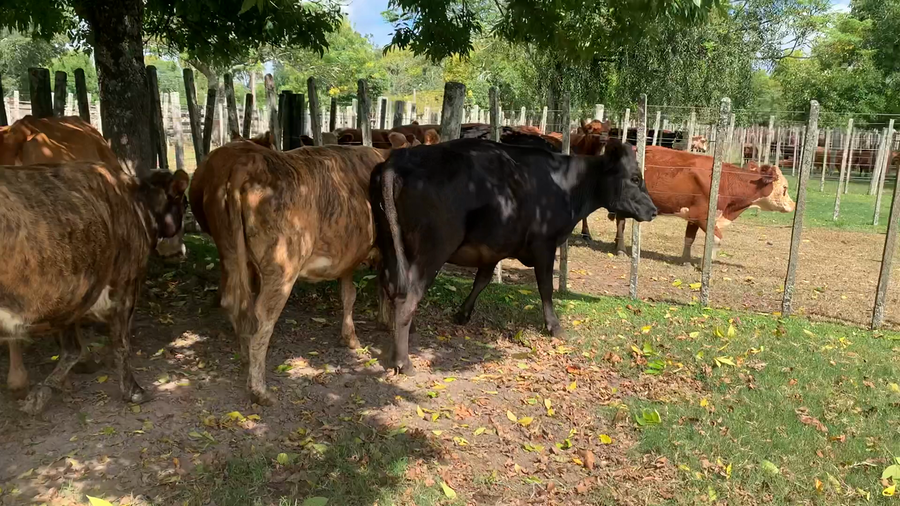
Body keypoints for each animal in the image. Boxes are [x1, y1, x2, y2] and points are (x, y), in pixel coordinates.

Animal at [1, 115, 187, 400]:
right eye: (183, 204)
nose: (179, 250)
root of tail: (22, 128)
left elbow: (71, 343)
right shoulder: (122, 281)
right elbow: (119, 341)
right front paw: (132, 389)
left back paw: (19, 381)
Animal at [190, 132, 413, 405]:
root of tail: (247, 162)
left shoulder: (346, 257)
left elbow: (349, 296)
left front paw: (350, 337)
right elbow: (382, 288)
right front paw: (383, 323)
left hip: (230, 251)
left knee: (235, 302)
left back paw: (244, 357)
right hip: (283, 265)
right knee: (262, 318)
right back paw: (259, 388)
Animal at [370, 138, 657, 375]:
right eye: (635, 178)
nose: (653, 210)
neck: (565, 184)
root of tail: (400, 158)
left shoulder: (492, 248)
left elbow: (482, 281)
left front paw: (463, 314)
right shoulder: (545, 245)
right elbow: (545, 288)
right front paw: (554, 327)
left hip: (388, 243)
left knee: (388, 286)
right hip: (432, 250)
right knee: (407, 297)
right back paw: (403, 361)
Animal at [608, 146, 795, 263]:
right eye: (785, 188)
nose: (793, 205)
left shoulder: (693, 215)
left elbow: (689, 239)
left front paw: (686, 261)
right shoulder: (702, 215)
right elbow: (717, 238)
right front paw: (705, 264)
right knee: (621, 223)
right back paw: (621, 250)